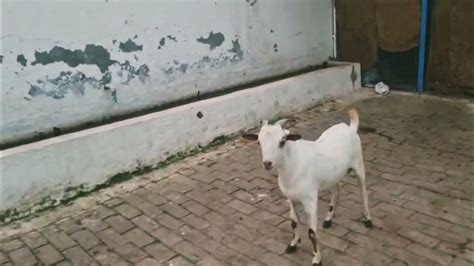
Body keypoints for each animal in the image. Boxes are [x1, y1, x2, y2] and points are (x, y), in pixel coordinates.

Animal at [243, 108, 372, 266]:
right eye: (258, 142)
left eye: (282, 141)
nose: (267, 163)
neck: (294, 163)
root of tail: (349, 127)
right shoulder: (291, 199)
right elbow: (293, 223)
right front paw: (293, 244)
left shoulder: (310, 201)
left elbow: (311, 233)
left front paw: (316, 259)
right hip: (333, 175)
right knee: (337, 190)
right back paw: (328, 219)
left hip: (359, 165)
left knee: (363, 191)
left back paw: (368, 219)